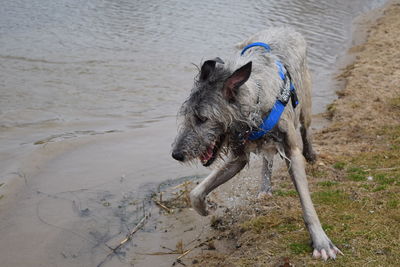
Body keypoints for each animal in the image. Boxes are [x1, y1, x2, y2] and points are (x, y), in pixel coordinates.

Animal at [170, 28, 342, 260]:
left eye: (202, 118)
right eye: (188, 116)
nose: (177, 154)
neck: (255, 100)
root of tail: (287, 29)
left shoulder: (291, 150)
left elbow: (307, 204)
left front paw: (321, 241)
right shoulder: (238, 155)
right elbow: (196, 192)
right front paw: (204, 208)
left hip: (305, 98)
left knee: (305, 128)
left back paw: (311, 154)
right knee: (268, 158)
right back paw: (265, 187)